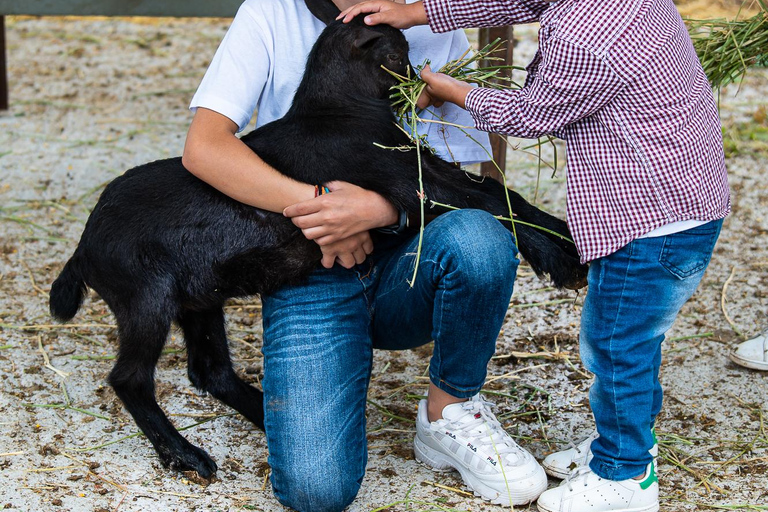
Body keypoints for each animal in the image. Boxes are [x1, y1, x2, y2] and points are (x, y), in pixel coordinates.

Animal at [49, 18, 588, 478]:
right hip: (147, 298)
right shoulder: (411, 183)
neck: (339, 112)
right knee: (130, 378)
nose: (421, 81)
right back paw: (186, 455)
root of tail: (83, 248)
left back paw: (264, 415)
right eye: (399, 50)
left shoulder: (423, 173)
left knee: (209, 369)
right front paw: (564, 259)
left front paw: (568, 245)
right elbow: (493, 201)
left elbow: (498, 194)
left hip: (199, 298)